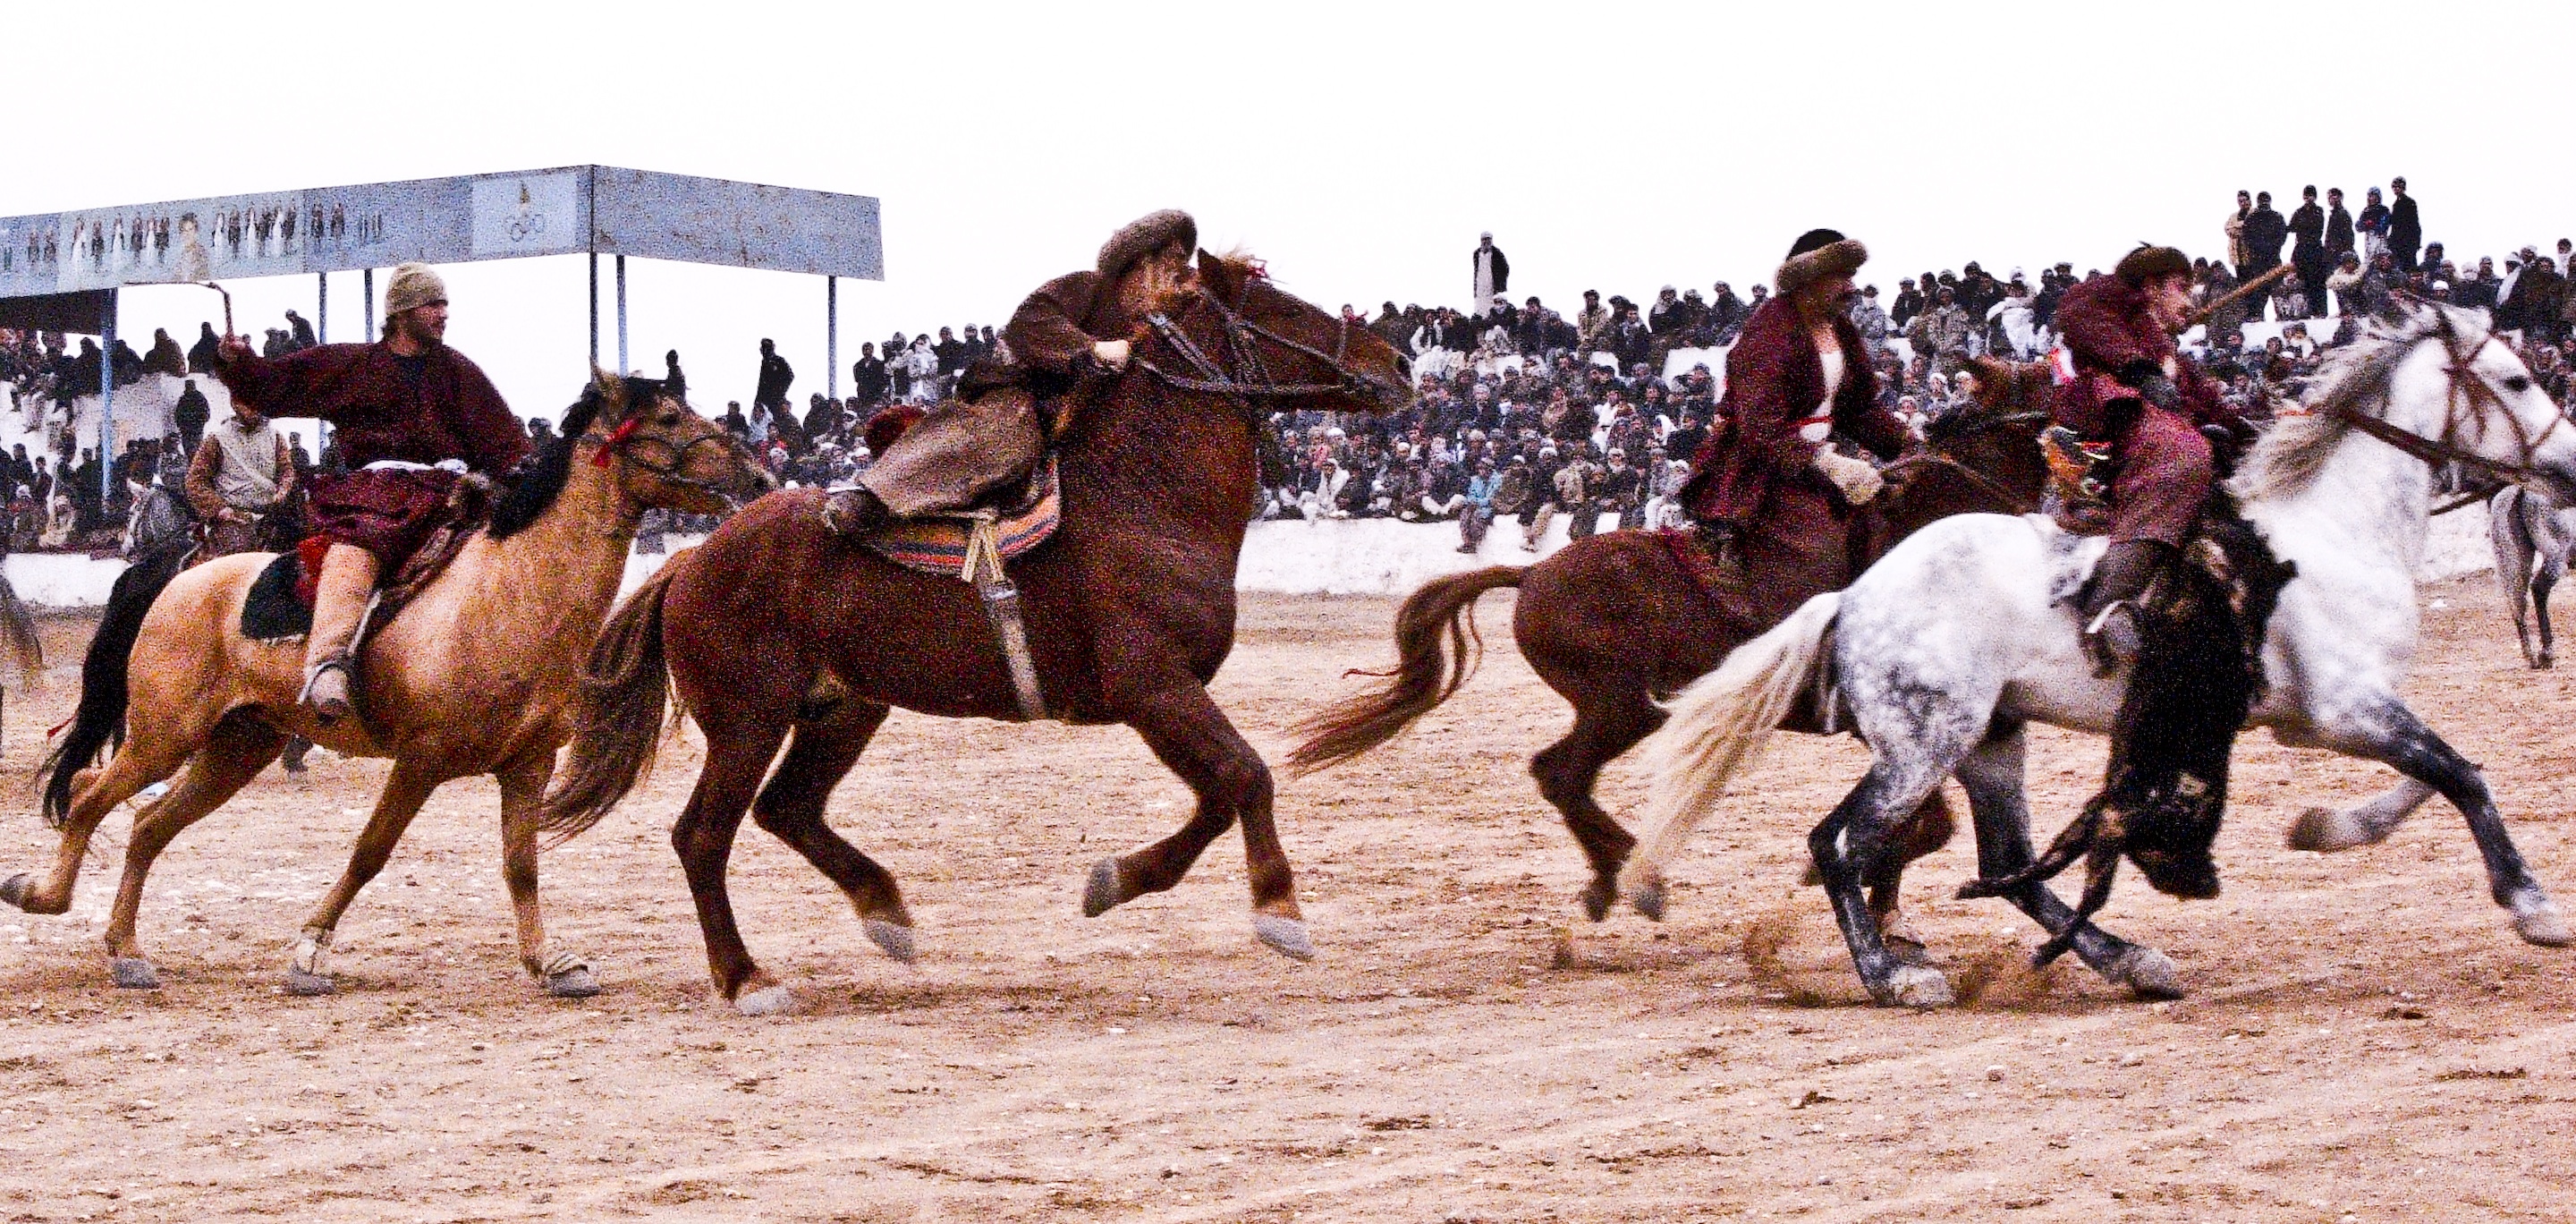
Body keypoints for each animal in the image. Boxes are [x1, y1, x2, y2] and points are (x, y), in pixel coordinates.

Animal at [4, 378, 767, 999]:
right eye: (668, 415)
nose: (757, 470)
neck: (510, 591)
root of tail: (174, 581)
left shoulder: (527, 764)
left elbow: (520, 865)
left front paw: (551, 962)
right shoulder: (421, 761)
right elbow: (369, 852)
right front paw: (309, 954)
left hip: (236, 748)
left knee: (146, 826)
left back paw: (126, 951)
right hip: (165, 738)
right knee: (88, 796)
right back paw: (42, 895)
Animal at [543, 251, 1421, 1015]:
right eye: (1284, 308)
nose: (1400, 364)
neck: (1142, 502)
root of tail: (692, 558)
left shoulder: (1157, 701)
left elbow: (1217, 795)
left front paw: (1115, 880)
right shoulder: (1154, 688)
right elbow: (1246, 775)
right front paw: (1280, 910)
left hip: (844, 709)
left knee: (787, 811)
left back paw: (886, 914)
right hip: (747, 721)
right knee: (703, 835)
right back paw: (747, 978)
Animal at [1288, 358, 2050, 932]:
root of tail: (1535, 572)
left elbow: (1923, 826)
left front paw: (1882, 906)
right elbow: (1927, 824)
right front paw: (1867, 896)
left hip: (1620, 709)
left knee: (1560, 777)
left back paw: (1618, 877)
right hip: (1619, 706)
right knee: (1560, 774)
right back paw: (1632, 876)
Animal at [1628, 301, 2576, 1009]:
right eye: (2518, 380)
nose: (2568, 464)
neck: (2330, 531)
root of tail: (1855, 597)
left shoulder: (2332, 717)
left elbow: (2441, 772)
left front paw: (2327, 828)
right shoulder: (2348, 709)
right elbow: (2459, 775)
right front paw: (2534, 908)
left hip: (1991, 743)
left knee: (2008, 868)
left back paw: (2131, 961)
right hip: (1923, 746)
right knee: (1842, 845)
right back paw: (1896, 976)